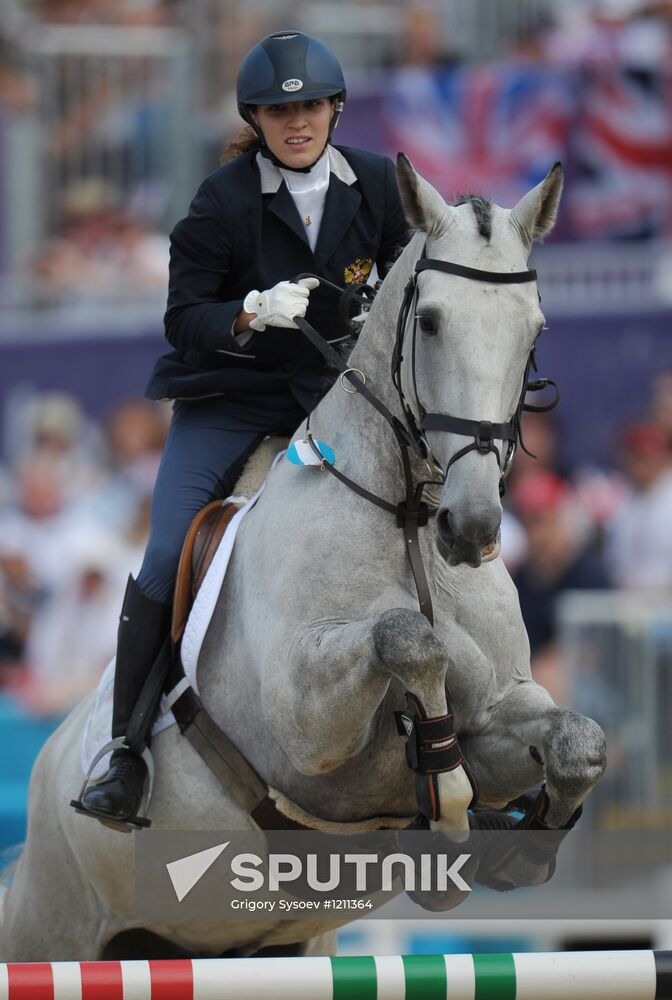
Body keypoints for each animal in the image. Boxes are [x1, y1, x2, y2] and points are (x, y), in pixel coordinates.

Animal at [0, 156, 608, 960]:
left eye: (533, 328)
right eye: (429, 320)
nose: (472, 527)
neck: (408, 522)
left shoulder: (501, 715)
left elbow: (578, 742)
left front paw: (518, 839)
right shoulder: (306, 731)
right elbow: (406, 636)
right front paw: (445, 792)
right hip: (53, 928)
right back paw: (112, 785)